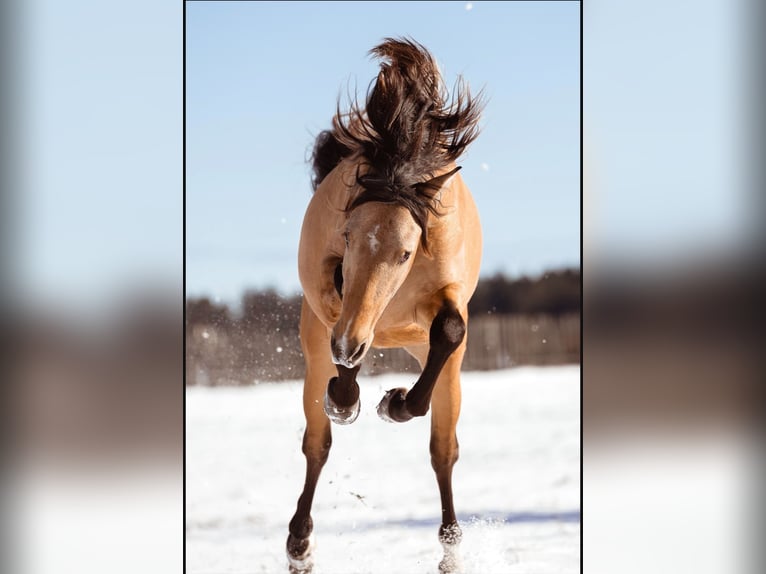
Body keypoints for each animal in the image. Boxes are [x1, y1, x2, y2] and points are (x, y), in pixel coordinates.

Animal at [288, 38, 486, 572]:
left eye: (404, 251)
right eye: (349, 236)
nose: (348, 344)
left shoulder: (448, 306)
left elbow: (450, 330)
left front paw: (393, 402)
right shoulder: (334, 304)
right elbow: (340, 323)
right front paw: (349, 399)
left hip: (444, 371)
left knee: (444, 450)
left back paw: (450, 547)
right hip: (314, 351)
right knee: (317, 444)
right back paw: (299, 544)